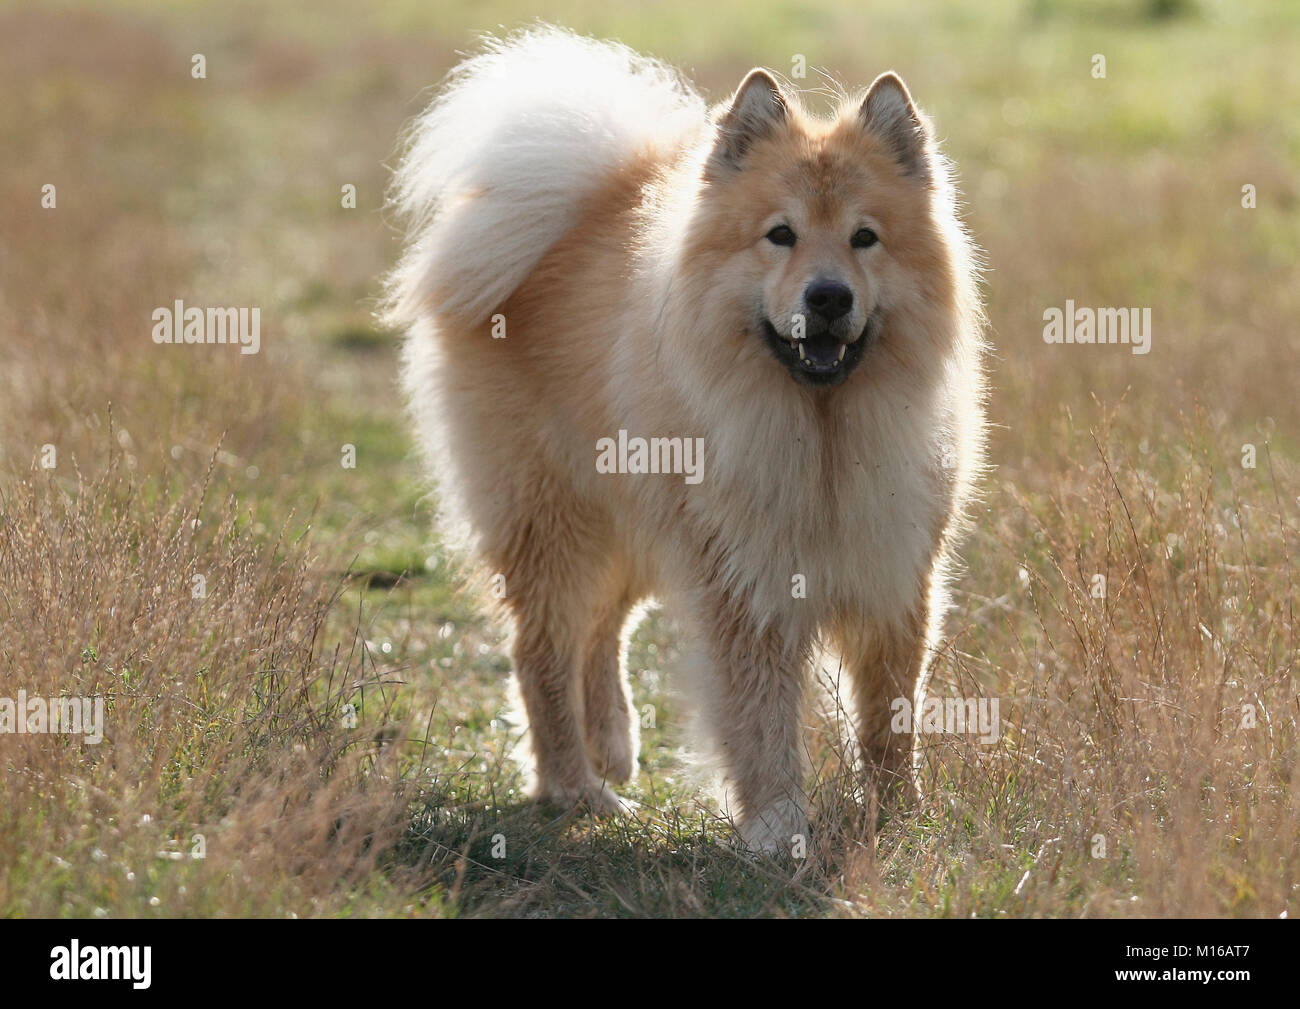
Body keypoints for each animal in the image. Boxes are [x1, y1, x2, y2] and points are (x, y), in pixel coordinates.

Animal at [384, 25, 982, 852]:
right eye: (780, 236)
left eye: (866, 238)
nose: (828, 296)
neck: (821, 428)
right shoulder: (746, 585)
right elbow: (762, 720)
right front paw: (775, 825)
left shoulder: (896, 576)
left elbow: (890, 717)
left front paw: (899, 815)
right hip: (557, 520)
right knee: (541, 650)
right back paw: (577, 786)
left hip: (633, 521)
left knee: (602, 628)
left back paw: (613, 743)